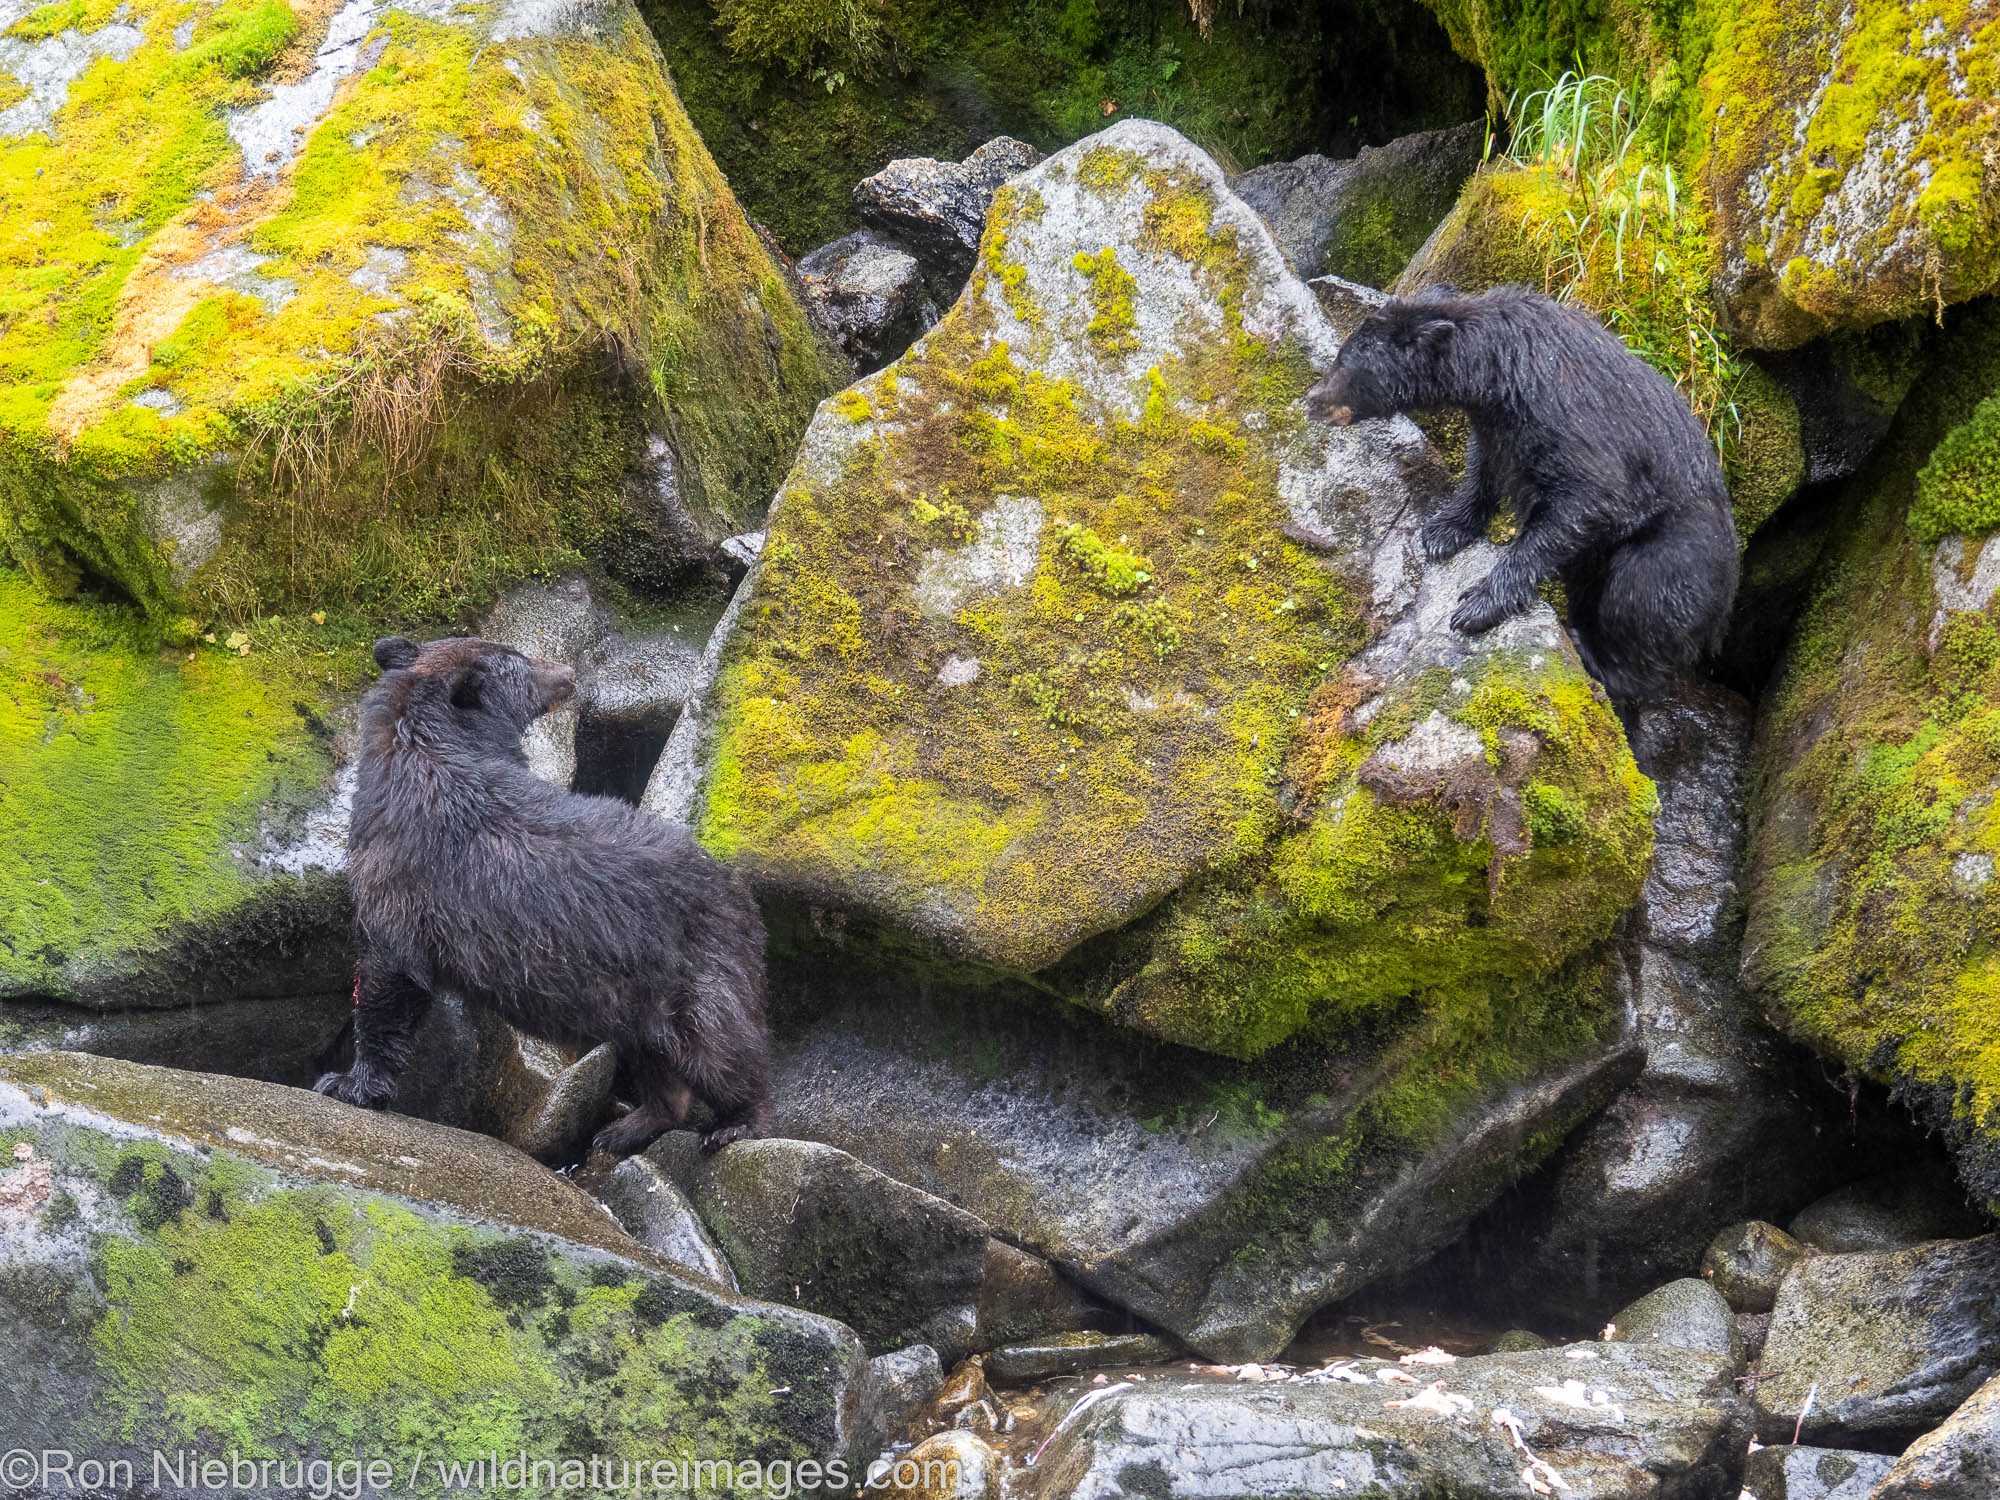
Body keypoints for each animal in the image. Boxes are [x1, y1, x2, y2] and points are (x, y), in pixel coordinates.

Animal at [316, 628, 768, 1160]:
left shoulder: (404, 881)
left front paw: (348, 1083)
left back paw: (735, 1123)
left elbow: (390, 977)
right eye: (519, 658)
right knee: (658, 1058)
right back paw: (624, 1127)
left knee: (719, 1043)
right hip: (639, 994)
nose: (570, 673)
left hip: (692, 968)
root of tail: (743, 898)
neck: (426, 749)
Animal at [1304, 284, 1744, 704]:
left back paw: (1595, 654)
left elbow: (1587, 500)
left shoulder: (1568, 419)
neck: (1502, 368)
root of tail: (1725, 613)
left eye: (1344, 362)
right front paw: (1443, 530)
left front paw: (1477, 604)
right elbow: (1483, 464)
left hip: (1675, 556)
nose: (1312, 399)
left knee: (1637, 601)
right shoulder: (1496, 421)